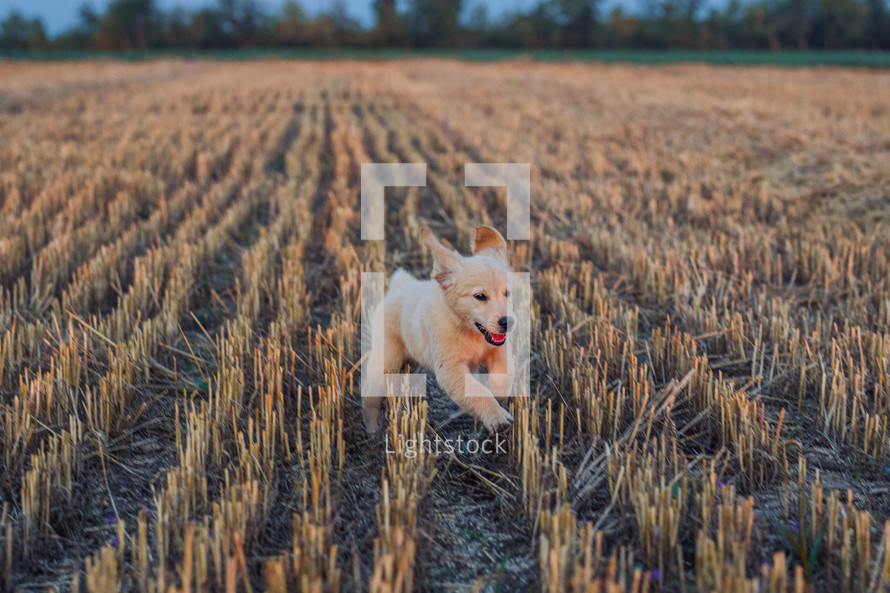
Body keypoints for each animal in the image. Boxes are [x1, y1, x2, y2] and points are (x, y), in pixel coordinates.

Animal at [360, 224, 512, 432]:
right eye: (480, 296)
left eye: (507, 293)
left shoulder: (499, 350)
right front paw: (496, 417)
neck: (467, 330)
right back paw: (372, 427)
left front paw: (497, 394)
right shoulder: (450, 369)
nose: (507, 322)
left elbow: (504, 375)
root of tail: (398, 289)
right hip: (387, 358)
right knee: (371, 390)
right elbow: (477, 392)